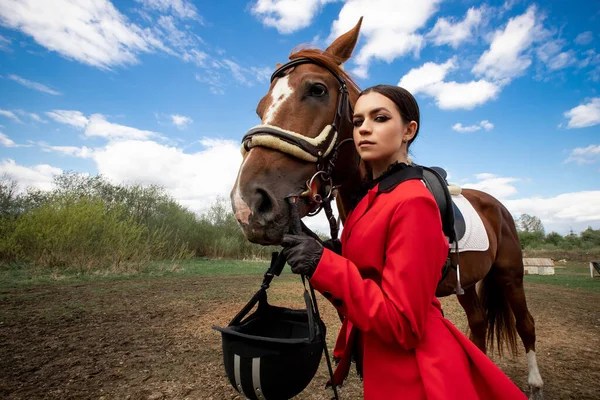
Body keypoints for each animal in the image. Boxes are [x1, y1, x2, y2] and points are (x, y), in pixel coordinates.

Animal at [230, 18, 544, 400]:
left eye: (317, 89)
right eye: (260, 107)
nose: (248, 204)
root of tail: (498, 207)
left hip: (511, 275)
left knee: (525, 323)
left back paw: (534, 382)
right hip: (467, 283)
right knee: (479, 323)